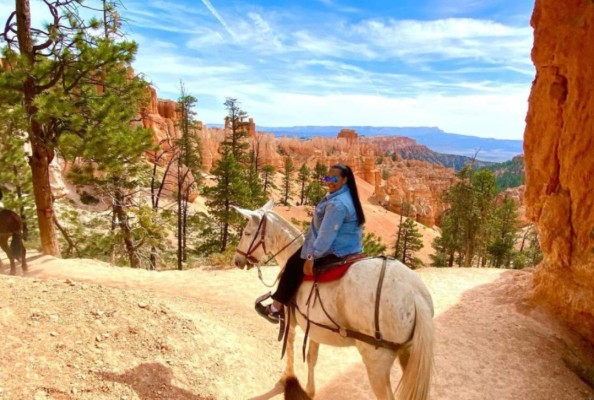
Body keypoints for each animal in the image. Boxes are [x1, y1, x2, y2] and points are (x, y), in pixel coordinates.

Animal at [232, 200, 434, 400]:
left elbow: (289, 349)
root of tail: (414, 294)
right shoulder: (314, 327)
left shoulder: (290, 322)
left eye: (247, 233)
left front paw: (286, 380)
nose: (237, 260)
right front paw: (310, 390)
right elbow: (311, 358)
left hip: (376, 362)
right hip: (408, 355)